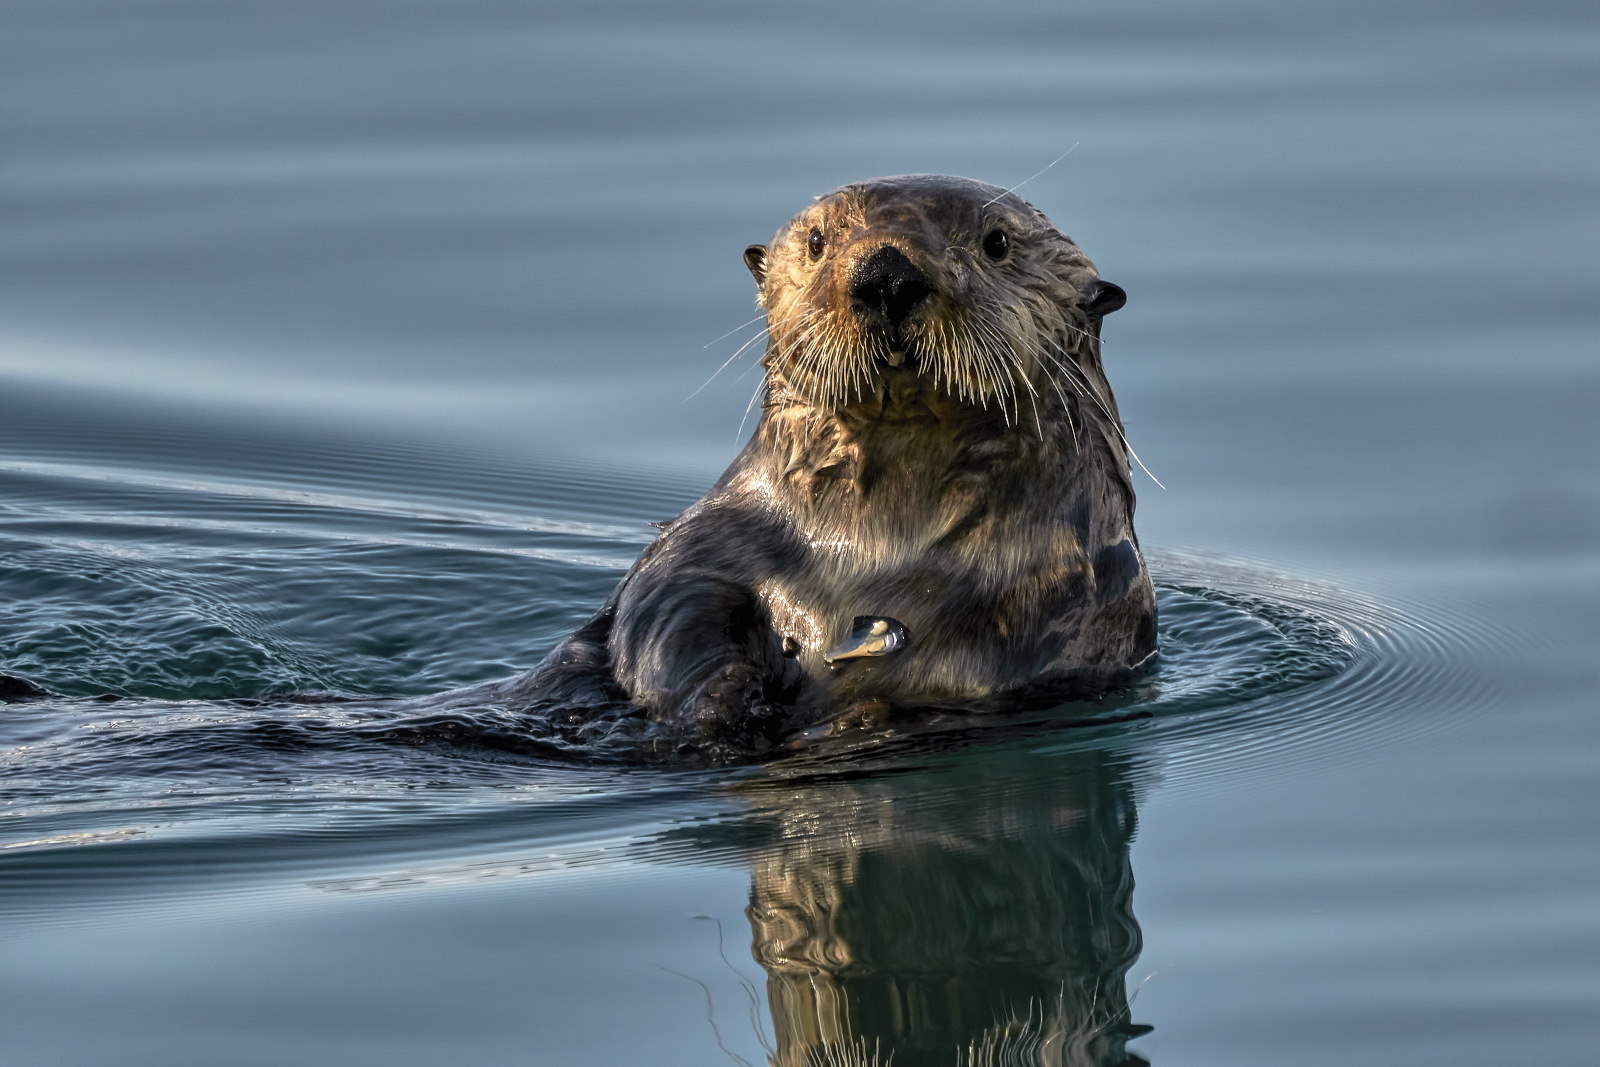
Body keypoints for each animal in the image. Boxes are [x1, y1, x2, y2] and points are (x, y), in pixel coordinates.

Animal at [513, 174, 1156, 757]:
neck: (875, 544)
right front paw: (723, 699)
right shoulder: (708, 540)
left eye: (996, 242)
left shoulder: (1070, 609)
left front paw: (858, 717)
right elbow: (664, 618)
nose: (887, 274)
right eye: (818, 240)